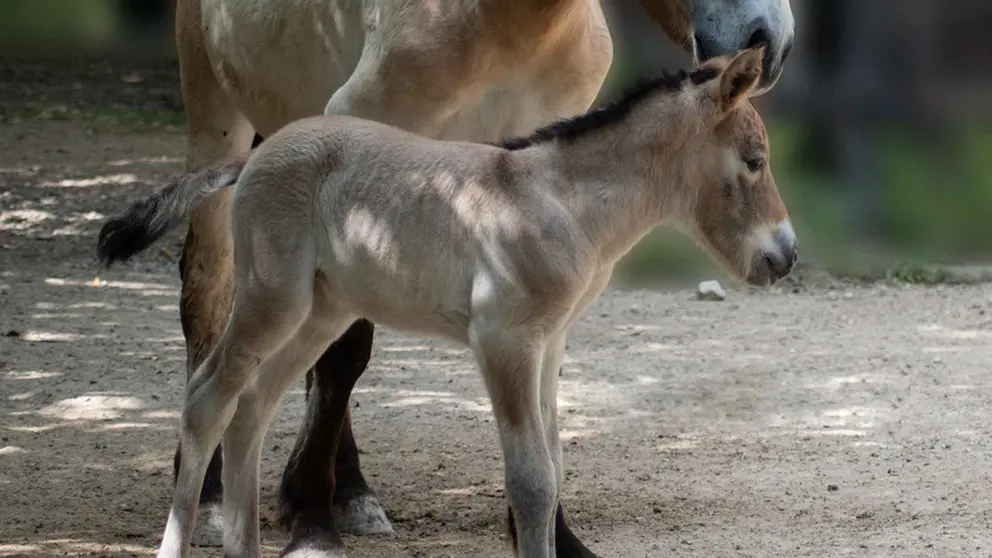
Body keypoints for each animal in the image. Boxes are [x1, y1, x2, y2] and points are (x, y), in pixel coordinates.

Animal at [98, 46, 797, 558]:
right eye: (754, 161)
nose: (786, 256)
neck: (560, 204)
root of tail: (254, 157)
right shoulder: (504, 342)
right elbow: (531, 481)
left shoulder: (550, 344)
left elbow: (554, 466)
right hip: (272, 298)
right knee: (208, 400)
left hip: (320, 314)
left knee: (251, 409)